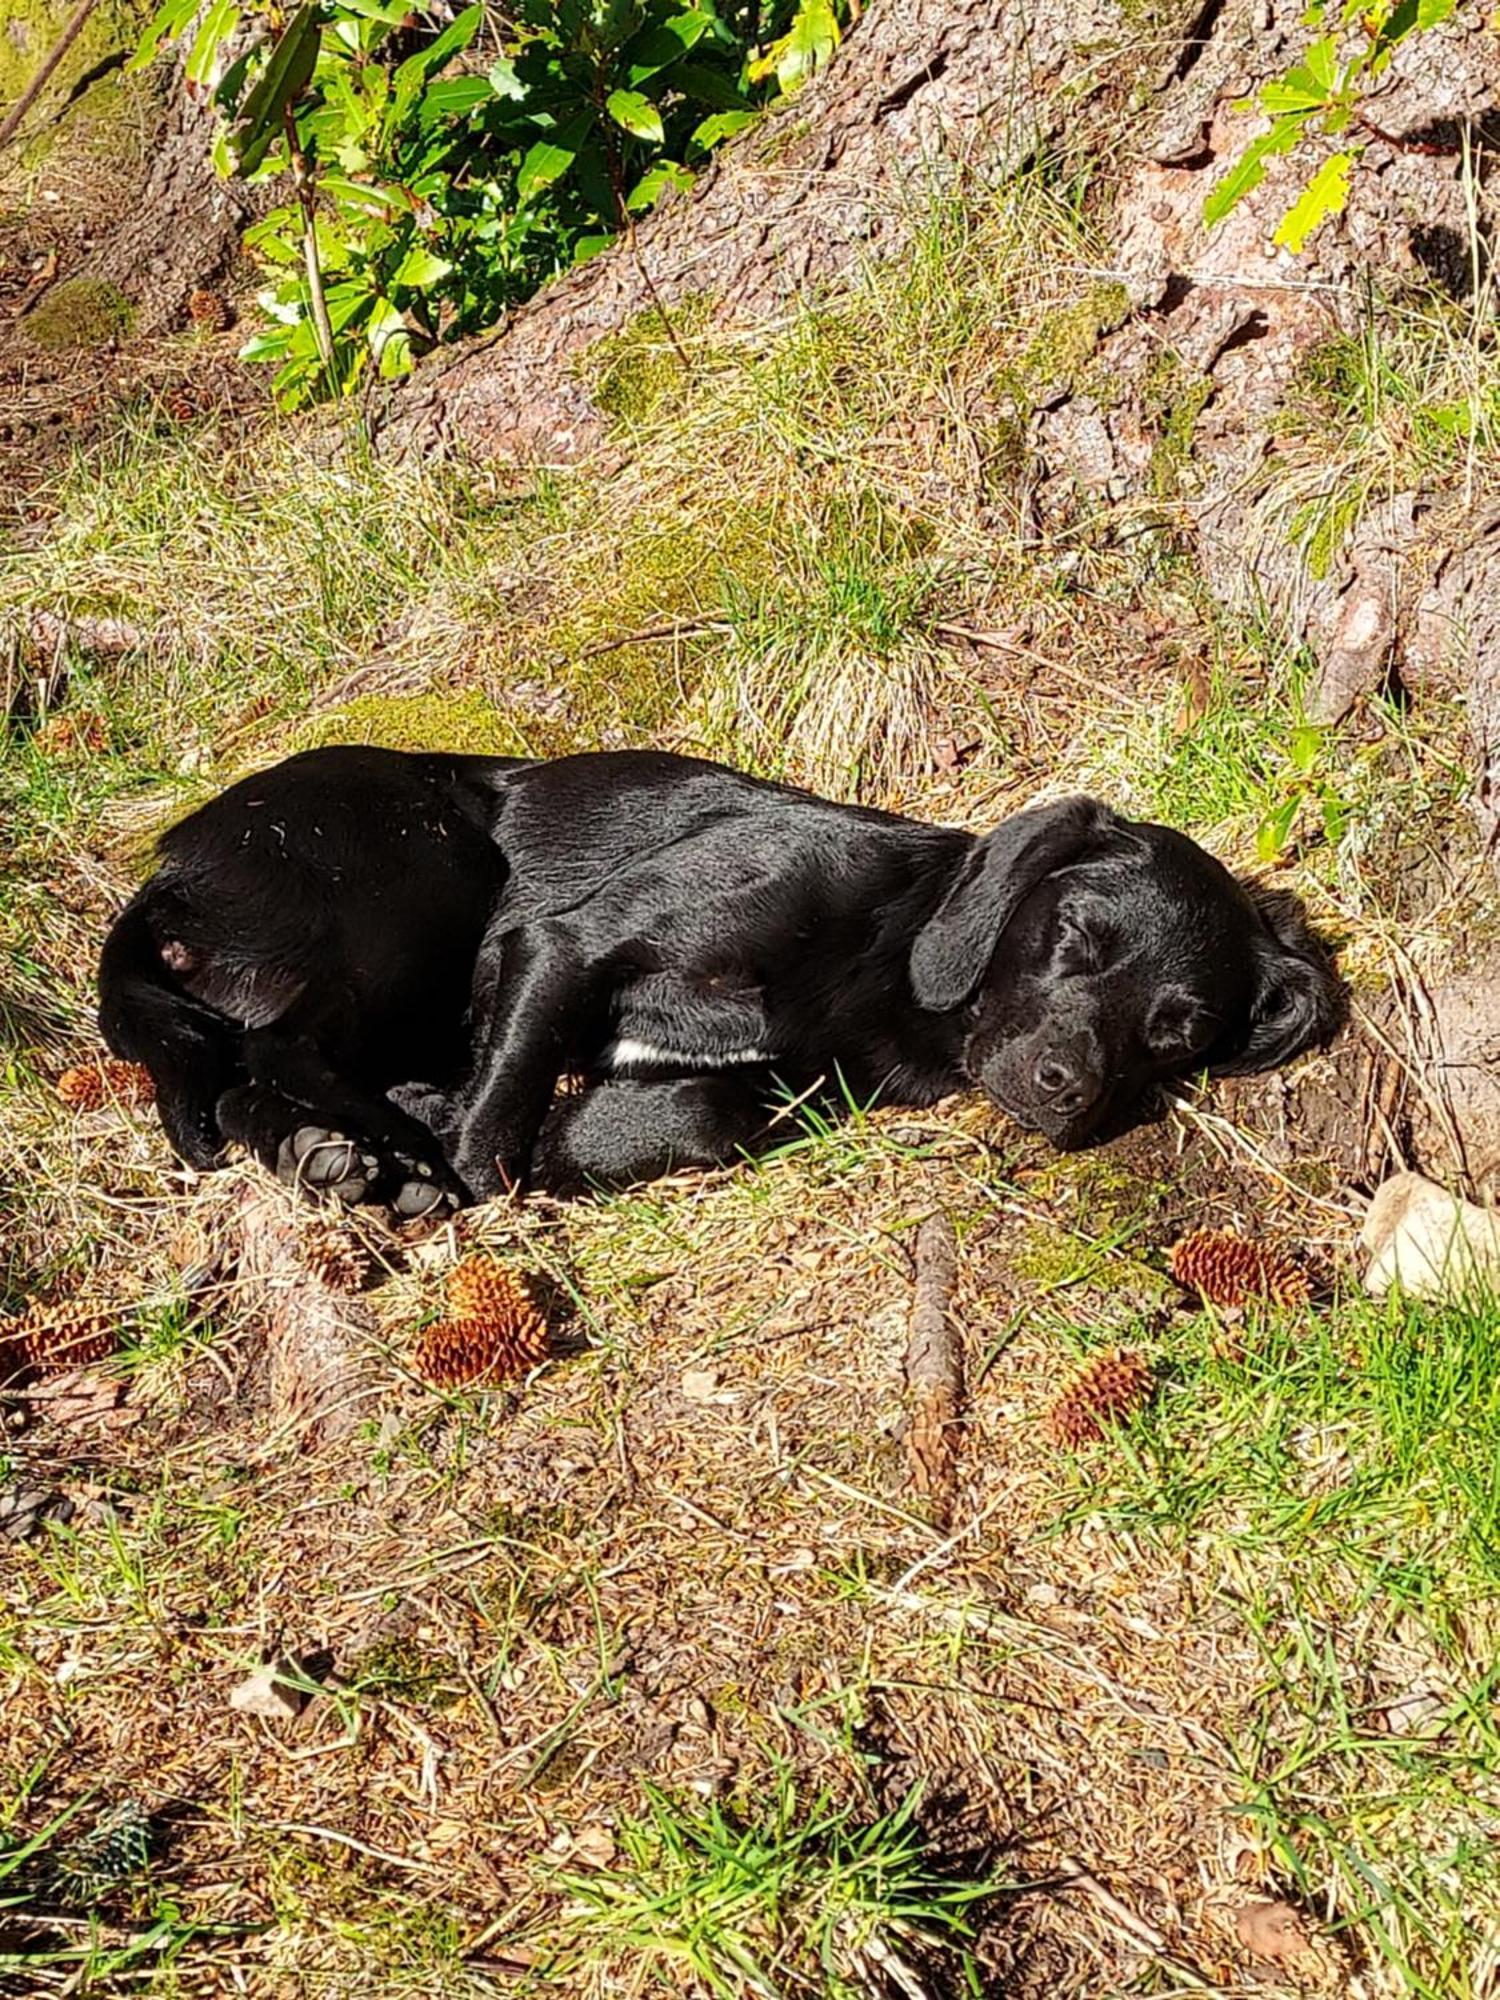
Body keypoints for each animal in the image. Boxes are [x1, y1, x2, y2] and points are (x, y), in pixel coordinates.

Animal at [94, 748, 1344, 1208]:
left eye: (1177, 1031)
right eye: (1076, 936)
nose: (1064, 1089)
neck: (887, 954)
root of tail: (176, 861)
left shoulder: (765, 1087)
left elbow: (687, 1110)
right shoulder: (569, 939)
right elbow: (497, 1137)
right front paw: (458, 1143)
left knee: (242, 1087)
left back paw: (339, 1154)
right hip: (427, 877)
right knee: (277, 1050)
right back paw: (386, 1147)